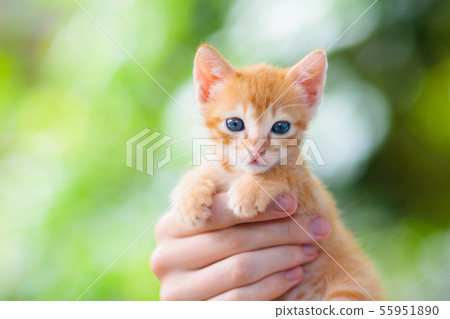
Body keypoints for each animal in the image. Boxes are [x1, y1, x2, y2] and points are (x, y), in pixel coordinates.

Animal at [172, 43, 384, 302]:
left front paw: (251, 190)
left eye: (281, 127)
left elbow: (287, 173)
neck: (238, 173)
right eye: (234, 124)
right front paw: (189, 197)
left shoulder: (316, 200)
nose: (256, 149)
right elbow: (207, 169)